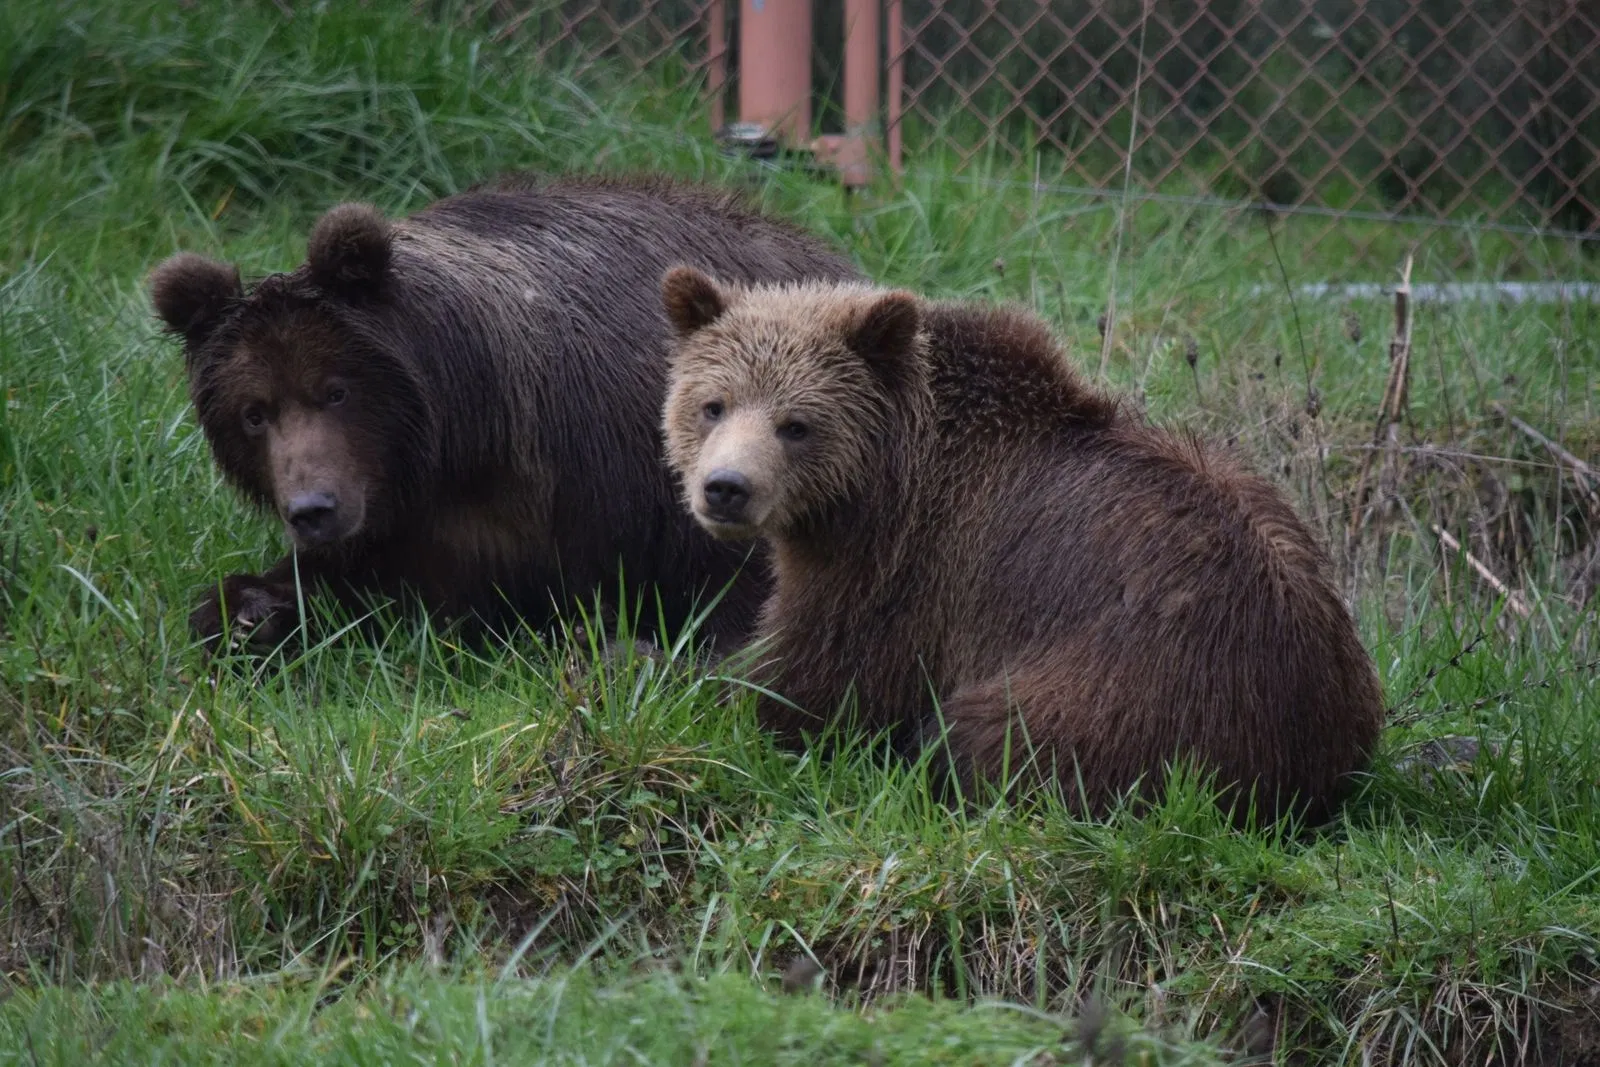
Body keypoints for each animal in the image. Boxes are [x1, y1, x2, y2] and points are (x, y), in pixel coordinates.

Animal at [147, 175, 864, 652]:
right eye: (254, 412)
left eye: (336, 390)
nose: (313, 508)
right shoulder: (398, 525)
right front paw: (247, 614)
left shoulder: (608, 470)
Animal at [662, 268, 1388, 825]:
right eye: (713, 404)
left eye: (796, 424)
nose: (726, 488)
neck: (879, 480)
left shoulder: (905, 568)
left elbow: (819, 672)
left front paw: (724, 696)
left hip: (1143, 685)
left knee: (991, 734)